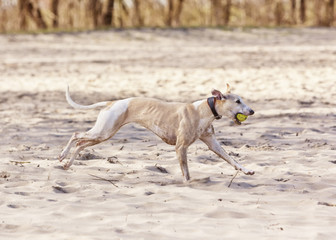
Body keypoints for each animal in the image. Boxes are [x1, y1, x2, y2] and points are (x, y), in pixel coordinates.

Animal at [59, 83, 255, 181]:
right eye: (238, 101)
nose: (252, 111)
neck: (203, 110)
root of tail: (111, 102)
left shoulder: (212, 143)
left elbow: (231, 159)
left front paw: (246, 170)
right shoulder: (180, 147)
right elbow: (186, 173)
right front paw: (188, 185)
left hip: (103, 133)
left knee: (80, 144)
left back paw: (67, 164)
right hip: (104, 131)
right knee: (76, 136)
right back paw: (62, 155)